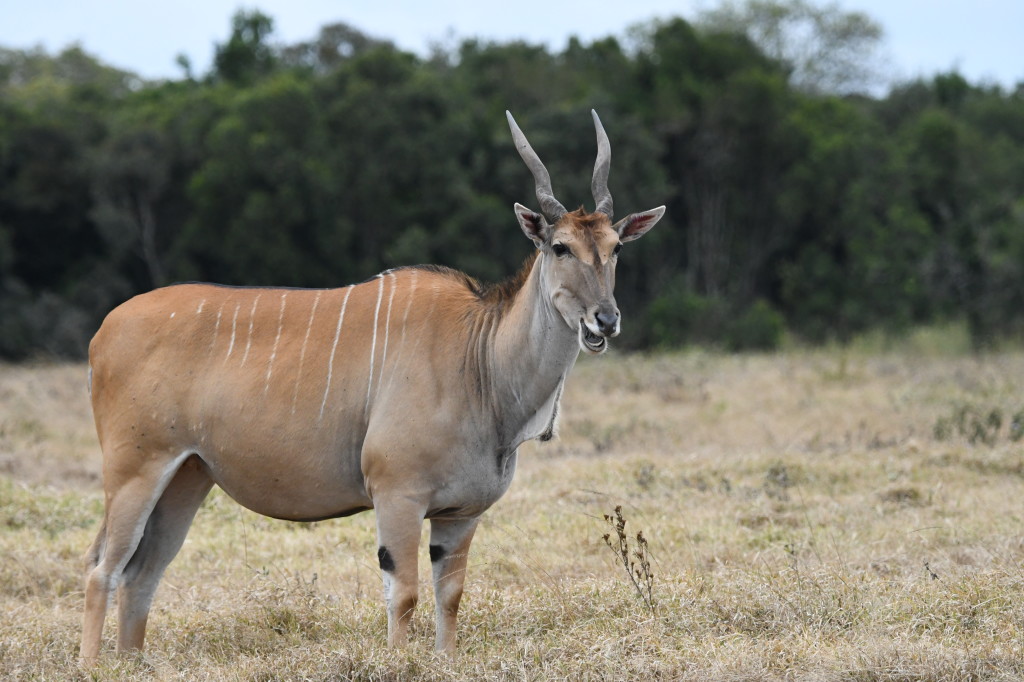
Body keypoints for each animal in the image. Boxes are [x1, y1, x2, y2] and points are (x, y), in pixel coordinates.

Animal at [81, 110, 663, 659]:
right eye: (560, 247)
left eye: (615, 247)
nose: (604, 320)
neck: (478, 358)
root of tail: (105, 329)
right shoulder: (396, 495)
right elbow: (402, 594)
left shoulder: (460, 514)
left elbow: (449, 596)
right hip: (135, 472)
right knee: (101, 568)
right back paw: (94, 665)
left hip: (187, 477)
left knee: (142, 574)